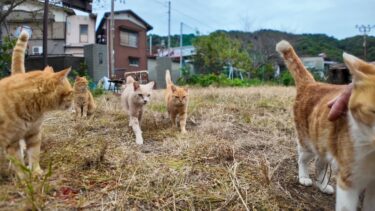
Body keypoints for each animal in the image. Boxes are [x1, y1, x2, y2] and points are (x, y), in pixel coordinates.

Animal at [0, 30, 74, 178]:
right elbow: (18, 162)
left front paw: (36, 172)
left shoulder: (33, 135)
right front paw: (24, 178)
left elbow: (34, 155)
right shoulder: (11, 141)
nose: (73, 101)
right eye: (70, 92)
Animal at [276, 40, 375, 211]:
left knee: (319, 163)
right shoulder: (349, 179)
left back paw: (322, 185)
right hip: (309, 143)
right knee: (302, 159)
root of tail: (311, 83)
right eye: (372, 111)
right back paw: (304, 177)